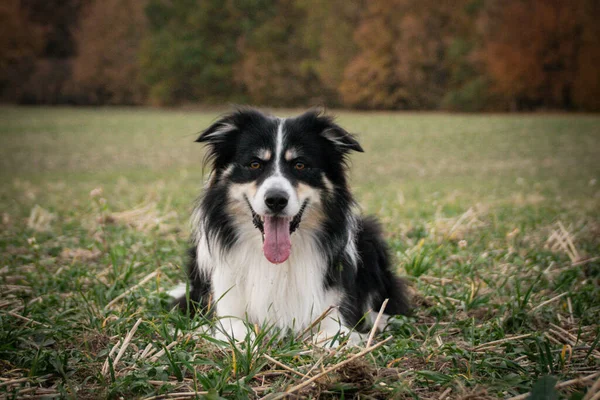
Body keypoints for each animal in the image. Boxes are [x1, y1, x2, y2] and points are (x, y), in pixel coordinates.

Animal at [171, 108, 410, 346]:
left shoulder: (332, 309)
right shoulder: (226, 306)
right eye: (255, 164)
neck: (276, 263)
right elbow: (237, 330)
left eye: (300, 165)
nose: (276, 200)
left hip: (369, 237)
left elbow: (331, 334)